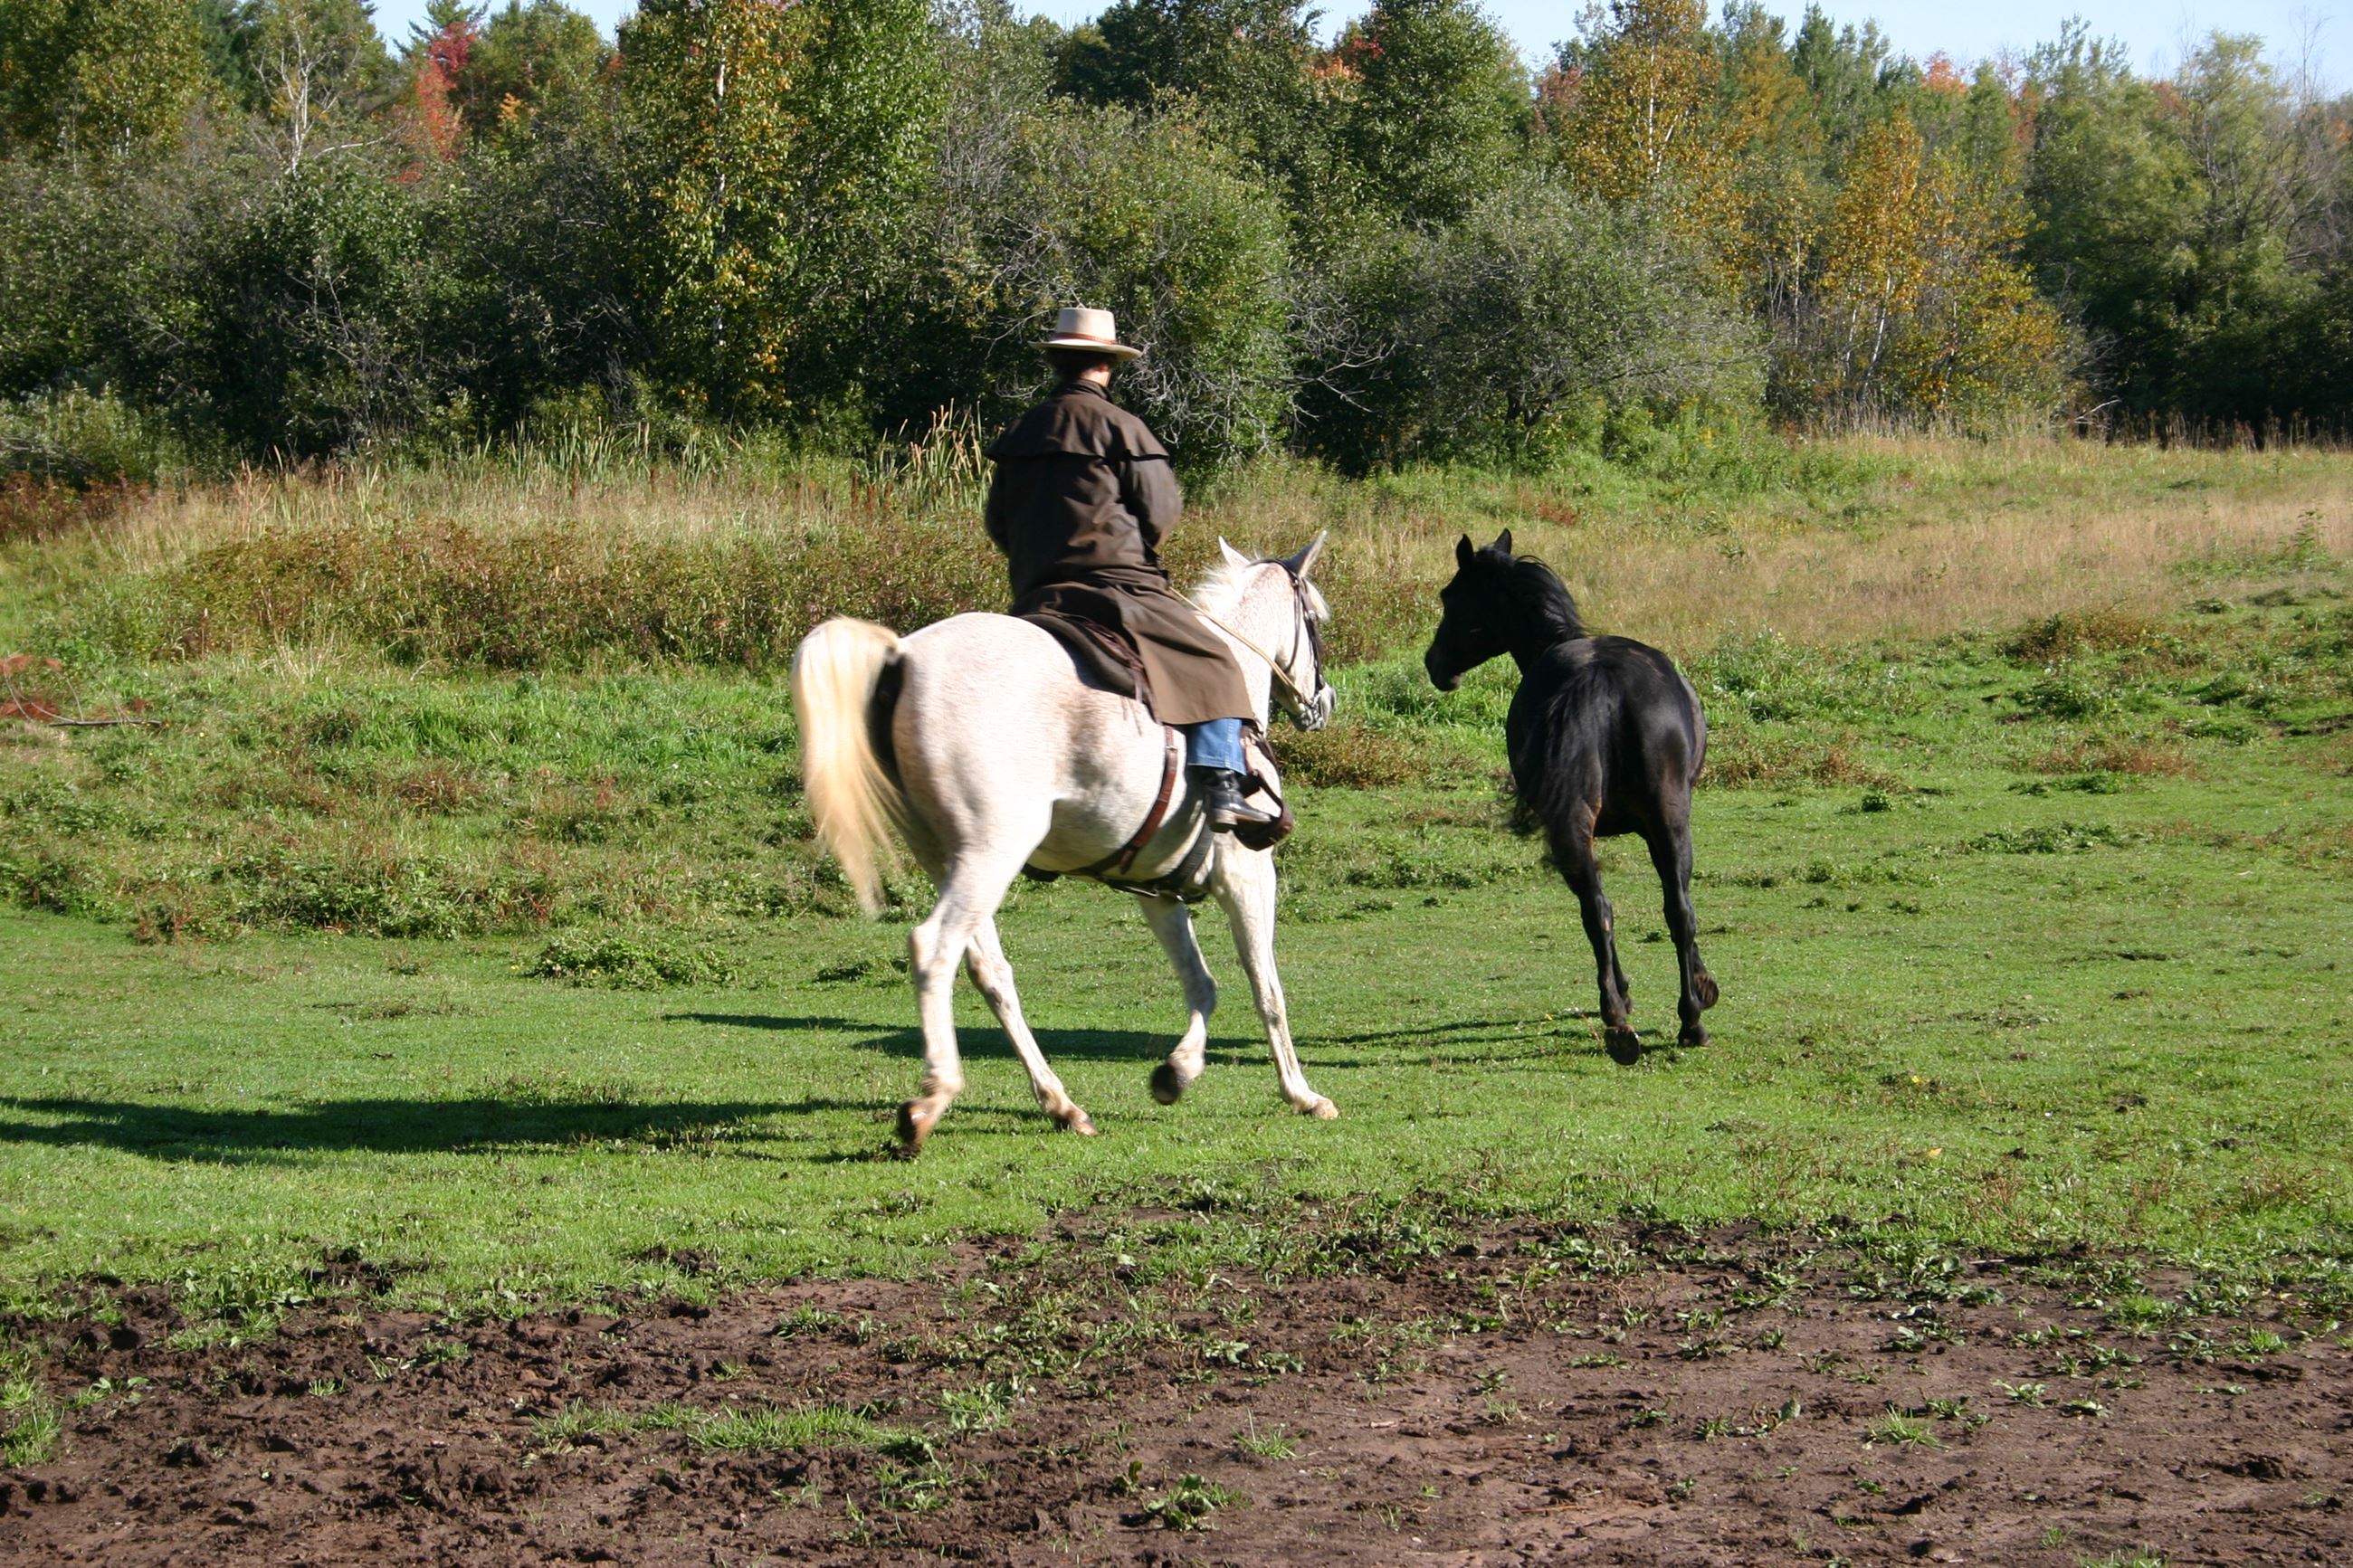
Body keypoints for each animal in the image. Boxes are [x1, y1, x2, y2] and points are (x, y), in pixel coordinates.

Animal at [791, 535, 1341, 1150]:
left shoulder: (1159, 892)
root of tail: (902, 656)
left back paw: (1060, 1103)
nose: (1323, 701)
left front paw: (1176, 1072)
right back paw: (931, 1101)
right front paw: (1301, 1094)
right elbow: (1266, 988)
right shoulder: (1249, 877)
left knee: (990, 972)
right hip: (993, 852)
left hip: (950, 859)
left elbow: (1202, 984)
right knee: (934, 949)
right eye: (1317, 619)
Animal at [1423, 529, 1719, 1065]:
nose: (1435, 664)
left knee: (1615, 909)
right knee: (1656, 908)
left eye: (1449, 597)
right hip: (1660, 821)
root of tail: (1602, 680)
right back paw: (1675, 1020)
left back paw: (1634, 1020)